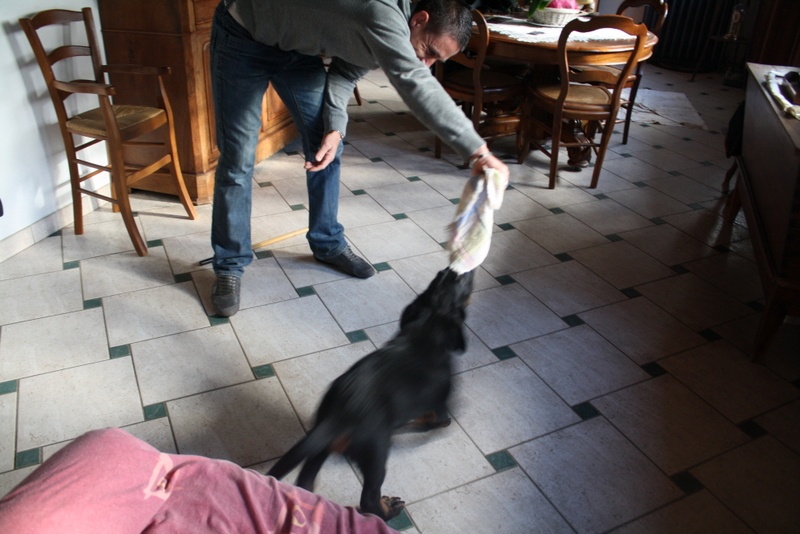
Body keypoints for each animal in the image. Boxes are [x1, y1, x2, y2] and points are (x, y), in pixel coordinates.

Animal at [267, 267, 475, 520]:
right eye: (462, 282)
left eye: (441, 276)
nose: (453, 268)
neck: (427, 328)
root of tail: (340, 413)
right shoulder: (441, 406)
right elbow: (436, 421)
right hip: (375, 456)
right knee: (368, 499)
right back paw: (388, 508)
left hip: (322, 445)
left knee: (306, 481)